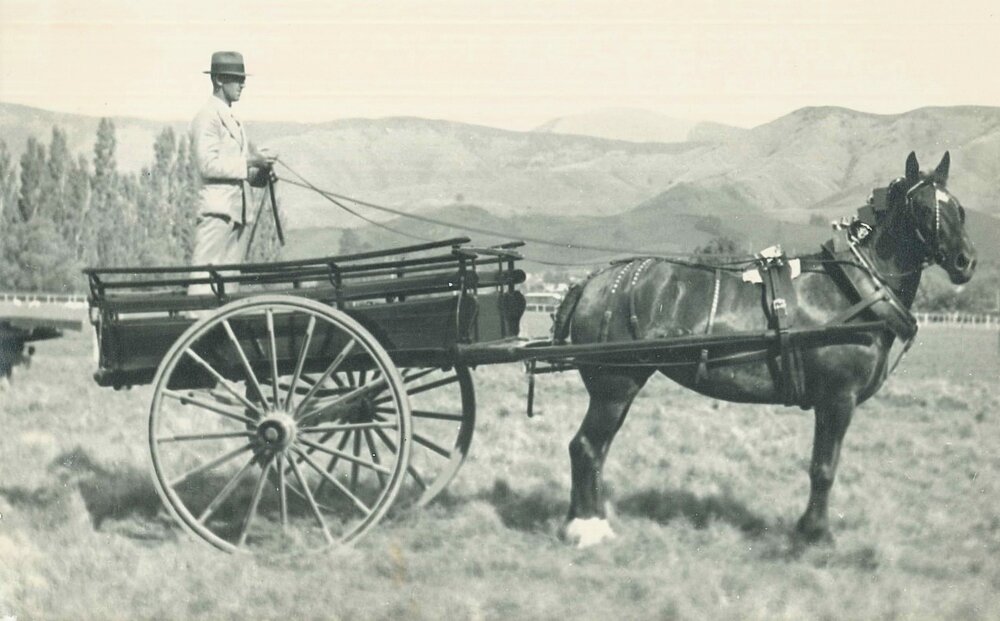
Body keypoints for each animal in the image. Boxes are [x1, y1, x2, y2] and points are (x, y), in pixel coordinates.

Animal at [554, 152, 977, 547]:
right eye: (921, 208)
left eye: (958, 208)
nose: (966, 262)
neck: (853, 289)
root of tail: (591, 282)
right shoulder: (837, 399)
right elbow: (824, 468)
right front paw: (815, 533)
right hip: (614, 385)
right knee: (586, 447)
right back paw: (586, 527)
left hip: (620, 387)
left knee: (595, 448)